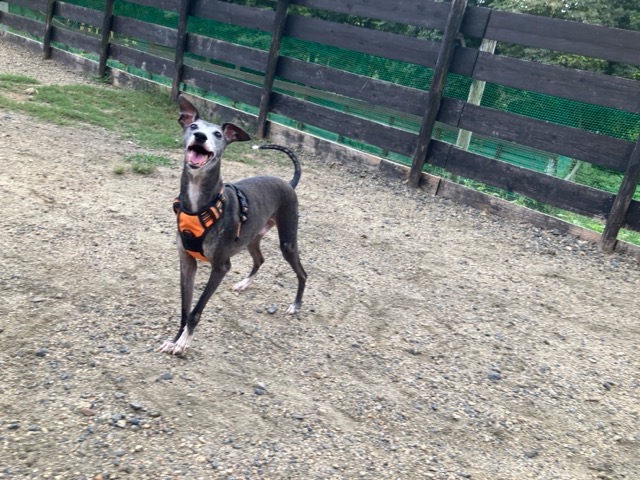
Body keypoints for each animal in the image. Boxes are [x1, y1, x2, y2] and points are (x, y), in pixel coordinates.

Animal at [158, 95, 307, 355]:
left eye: (218, 134)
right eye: (193, 126)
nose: (200, 137)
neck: (199, 205)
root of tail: (289, 183)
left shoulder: (220, 266)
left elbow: (196, 310)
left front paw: (184, 342)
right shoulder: (186, 262)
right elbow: (185, 308)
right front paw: (175, 338)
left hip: (287, 241)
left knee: (303, 273)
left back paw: (295, 305)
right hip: (252, 237)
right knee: (260, 259)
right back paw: (244, 284)